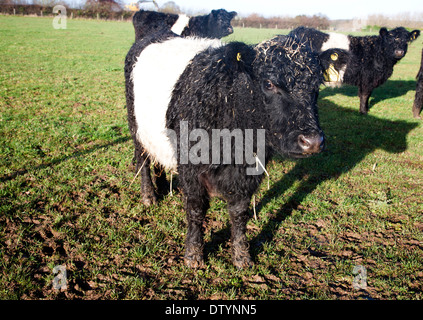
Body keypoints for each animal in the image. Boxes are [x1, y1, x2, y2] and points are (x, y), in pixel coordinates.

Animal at [123, 32, 342, 268]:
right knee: (142, 160)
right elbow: (196, 209)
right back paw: (149, 197)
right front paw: (193, 255)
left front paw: (241, 256)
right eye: (268, 83)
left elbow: (239, 213)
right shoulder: (191, 167)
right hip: (135, 126)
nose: (312, 141)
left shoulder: (249, 171)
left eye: (316, 86)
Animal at [290, 26, 422, 114]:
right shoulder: (367, 79)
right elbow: (365, 95)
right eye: (390, 39)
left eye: (406, 40)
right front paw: (363, 112)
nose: (399, 52)